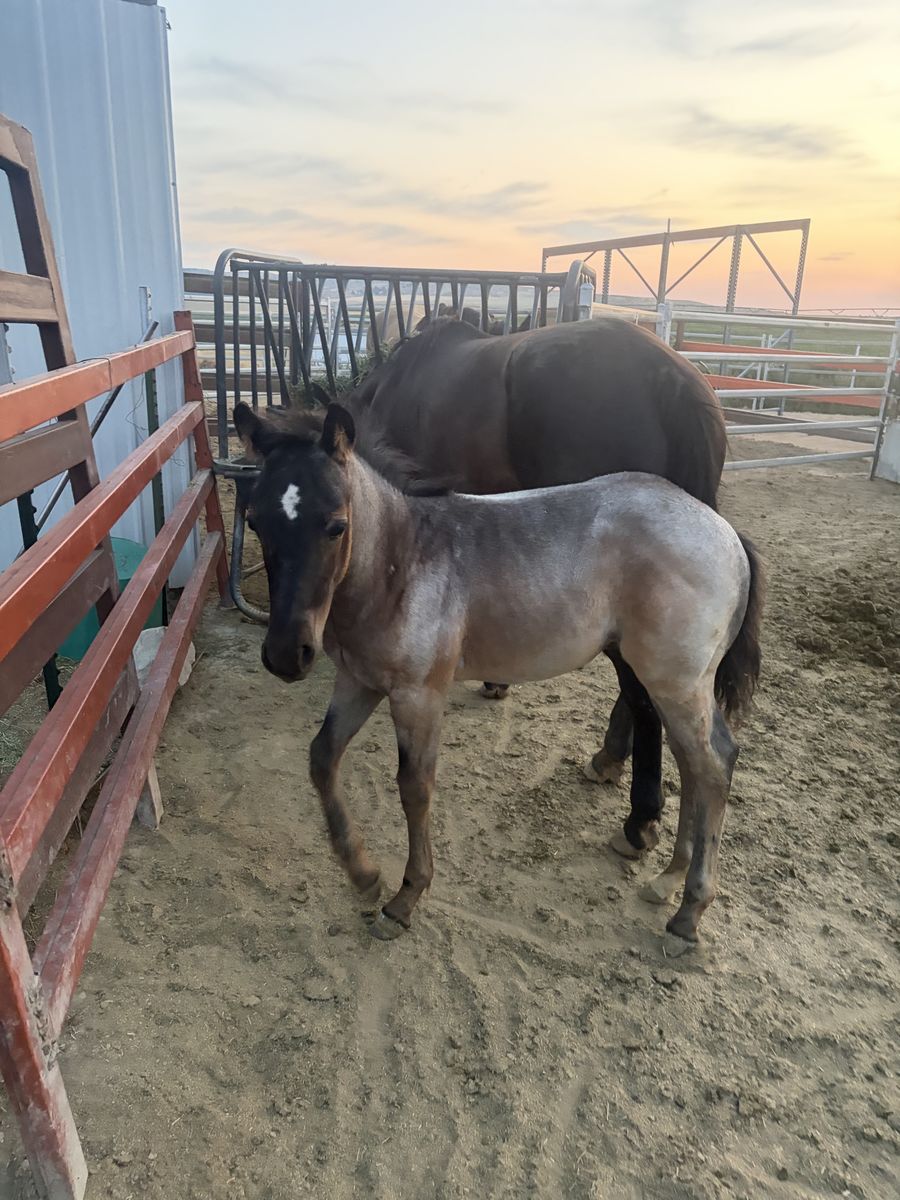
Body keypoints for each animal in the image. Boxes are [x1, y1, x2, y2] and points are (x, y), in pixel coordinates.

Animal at [233, 401, 762, 950]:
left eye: (336, 525)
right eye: (255, 520)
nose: (286, 653)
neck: (400, 565)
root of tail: (725, 533)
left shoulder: (419, 695)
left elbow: (414, 787)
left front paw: (404, 899)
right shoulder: (360, 682)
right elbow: (322, 758)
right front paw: (362, 871)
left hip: (674, 680)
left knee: (714, 764)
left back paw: (688, 913)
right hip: (671, 682)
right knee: (692, 762)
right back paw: (668, 878)